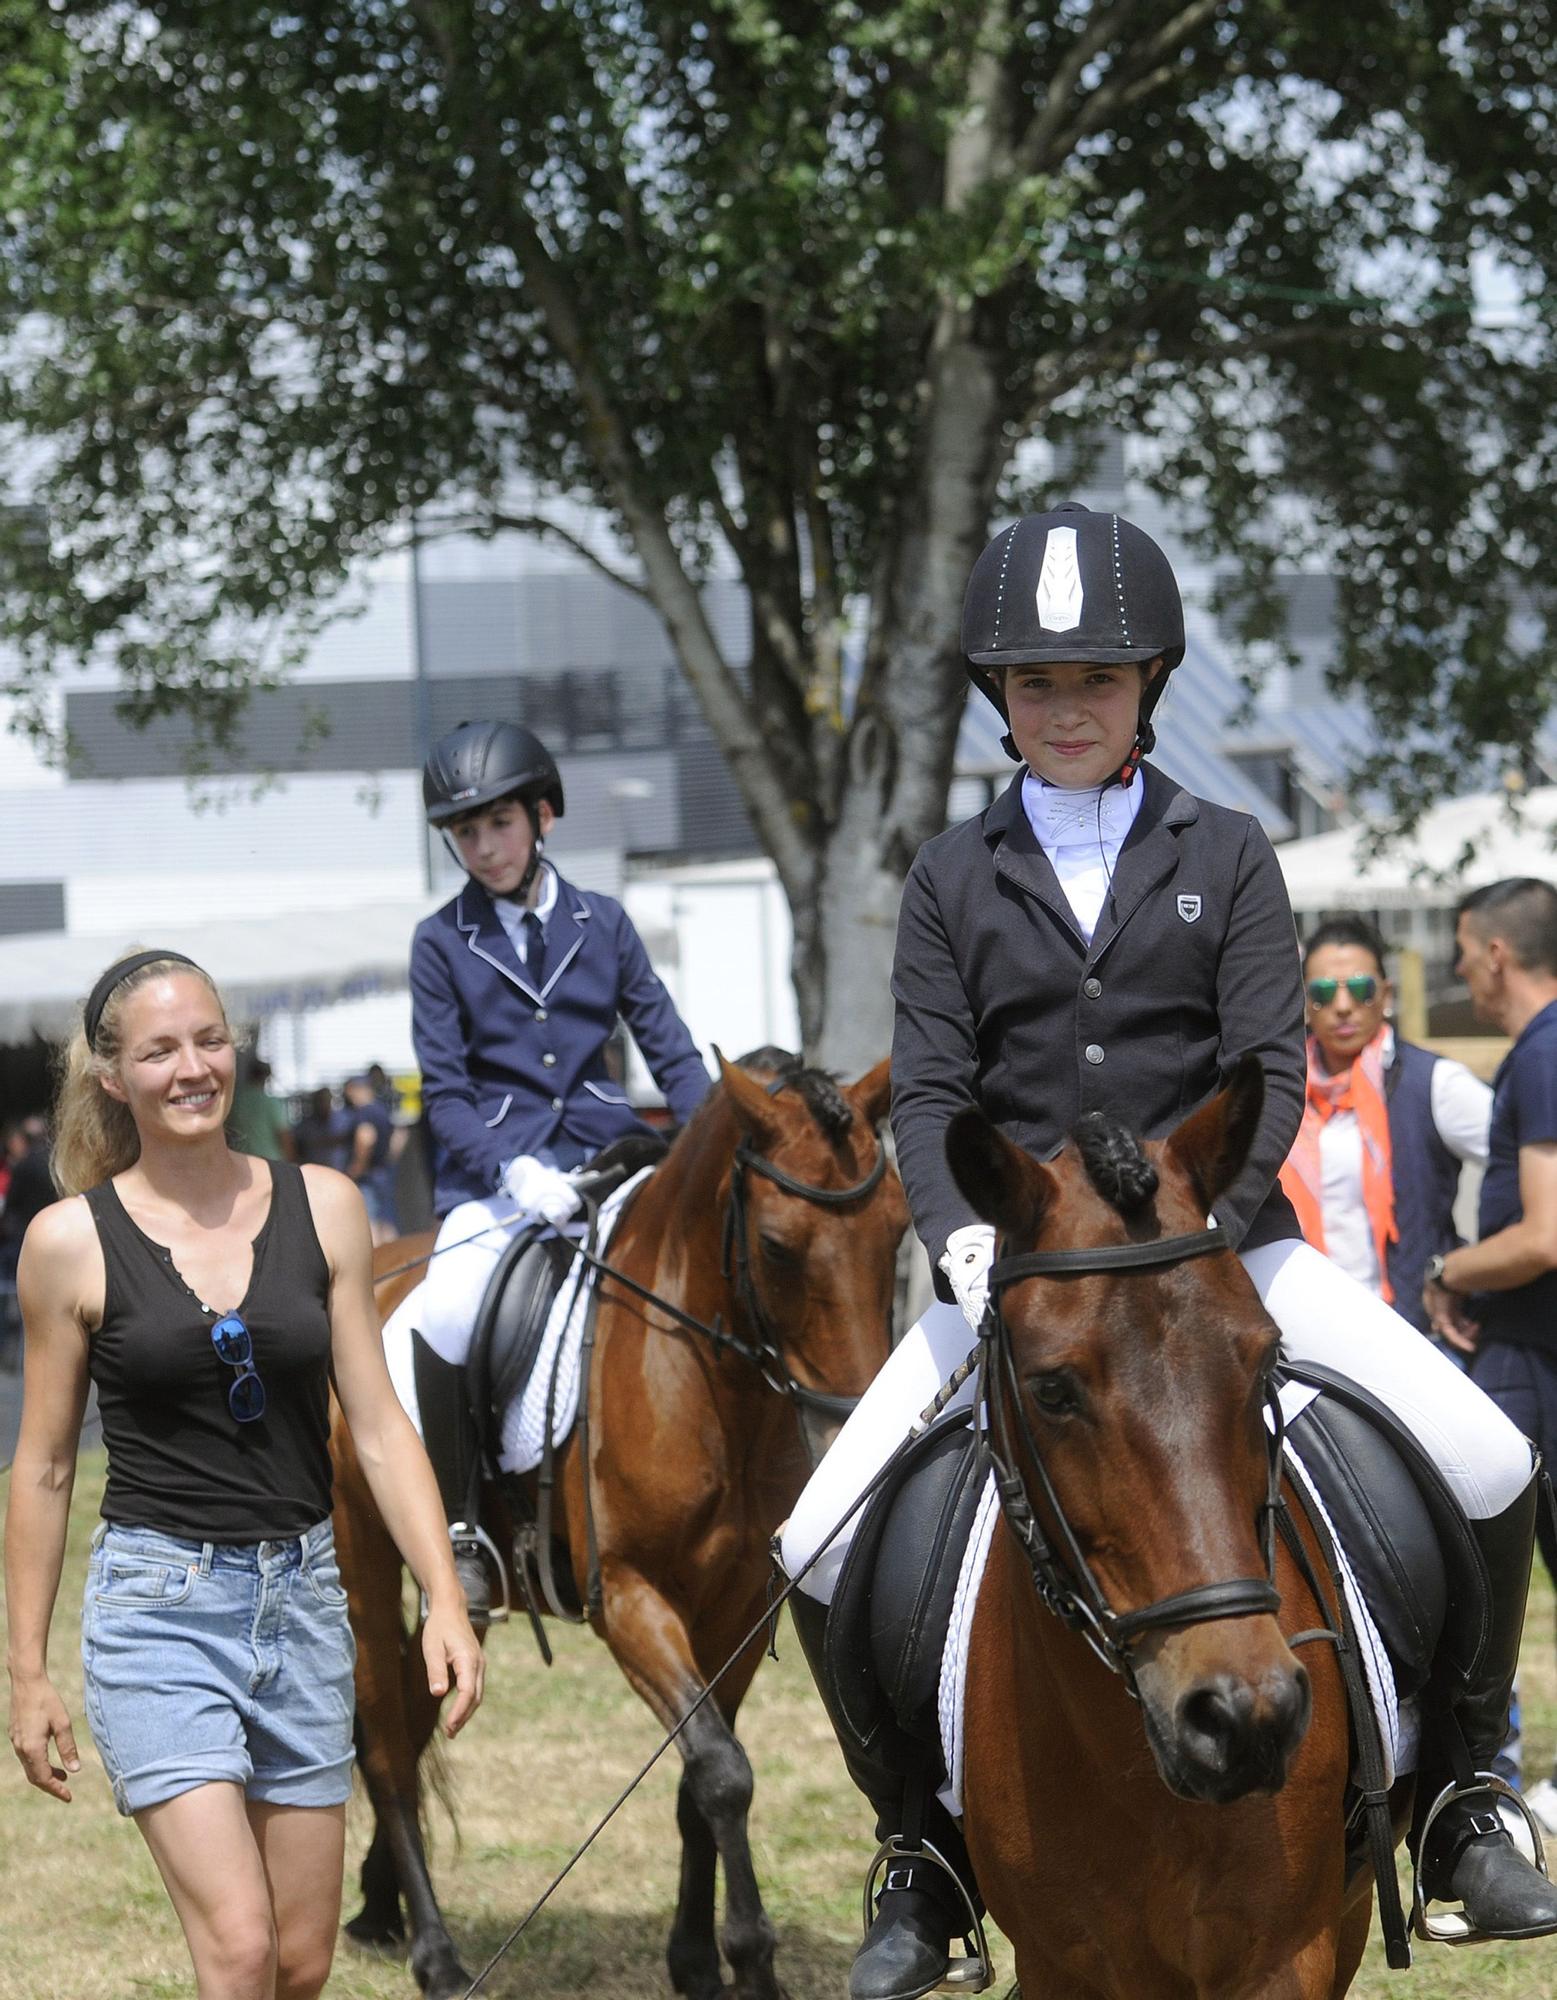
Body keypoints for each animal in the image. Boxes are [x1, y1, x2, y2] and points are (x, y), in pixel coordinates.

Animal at [334, 1056, 904, 1992]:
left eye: (895, 1235)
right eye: (776, 1248)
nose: (851, 1436)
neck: (708, 1384)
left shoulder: (736, 1611)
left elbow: (697, 1780)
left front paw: (695, 1960)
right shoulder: (632, 1599)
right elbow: (722, 1772)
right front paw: (750, 1962)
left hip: (452, 1603)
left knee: (413, 1720)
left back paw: (380, 1909)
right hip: (364, 1566)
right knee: (384, 1741)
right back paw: (436, 1955)